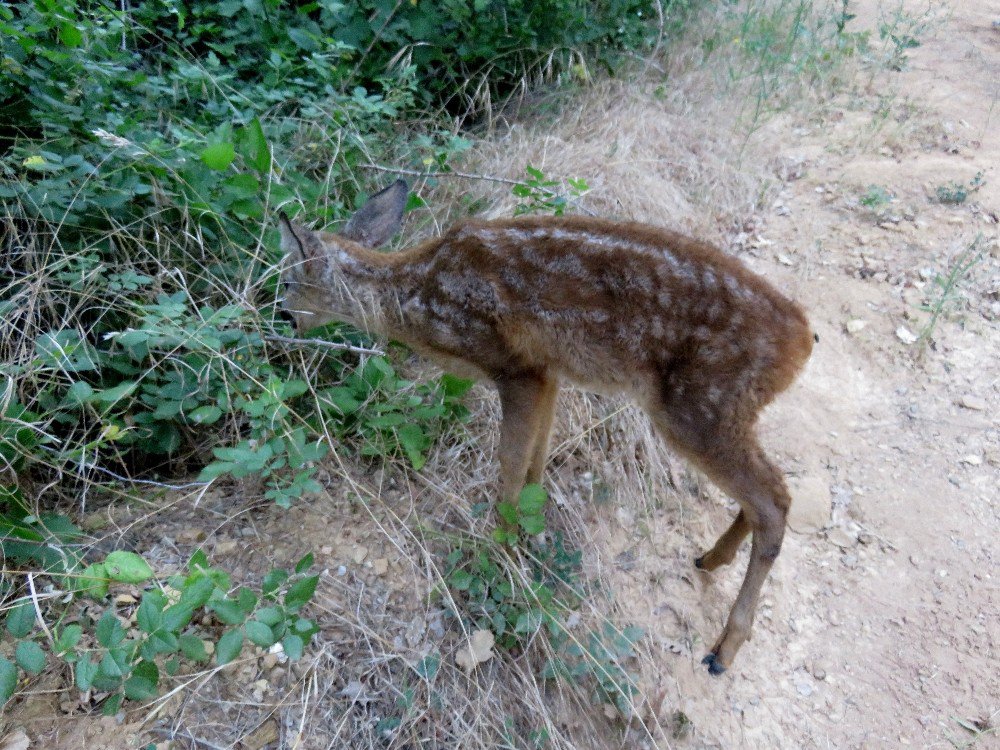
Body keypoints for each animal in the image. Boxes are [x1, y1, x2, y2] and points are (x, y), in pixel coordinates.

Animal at [274, 181, 812, 676]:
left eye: (286, 284)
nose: (280, 319)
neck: (421, 298)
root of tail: (802, 340)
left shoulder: (514, 366)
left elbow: (510, 460)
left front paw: (501, 544)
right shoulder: (549, 370)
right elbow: (539, 453)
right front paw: (534, 533)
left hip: (699, 406)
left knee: (774, 499)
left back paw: (724, 648)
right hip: (725, 412)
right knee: (766, 492)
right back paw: (710, 559)